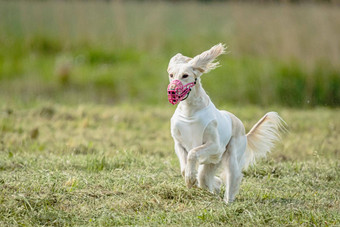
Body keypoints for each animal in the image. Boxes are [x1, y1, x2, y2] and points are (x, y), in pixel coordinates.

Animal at [167, 43, 284, 203]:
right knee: (205, 179)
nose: (172, 91)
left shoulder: (215, 146)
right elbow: (184, 166)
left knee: (230, 178)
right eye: (171, 75)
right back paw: (213, 187)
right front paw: (190, 177)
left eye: (185, 75)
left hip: (229, 157)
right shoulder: (178, 143)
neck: (189, 112)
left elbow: (192, 153)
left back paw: (228, 201)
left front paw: (190, 178)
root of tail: (244, 130)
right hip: (212, 162)